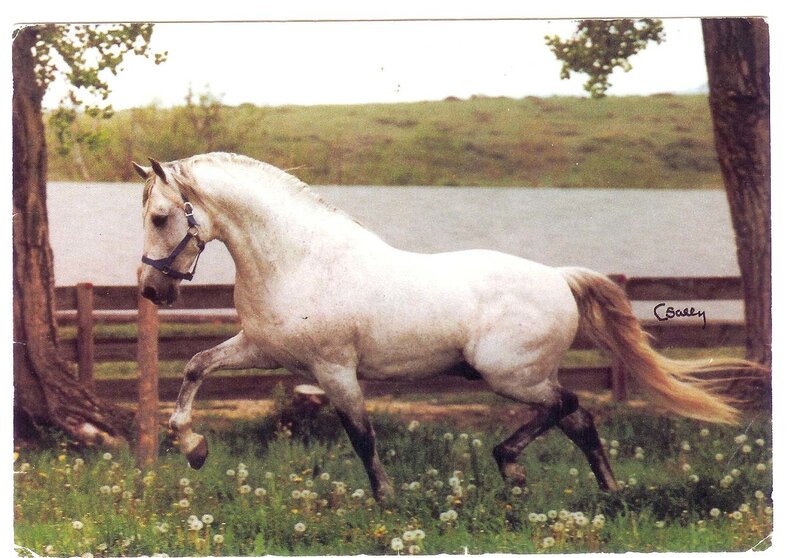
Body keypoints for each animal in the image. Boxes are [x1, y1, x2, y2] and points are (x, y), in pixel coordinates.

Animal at [135, 152, 755, 500]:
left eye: (161, 217)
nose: (149, 290)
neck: (297, 260)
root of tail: (559, 277)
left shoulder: (334, 369)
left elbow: (362, 437)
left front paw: (386, 503)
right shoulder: (262, 349)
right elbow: (195, 367)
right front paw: (192, 446)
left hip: (510, 375)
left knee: (568, 405)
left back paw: (512, 466)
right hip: (521, 376)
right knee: (579, 419)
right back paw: (604, 492)